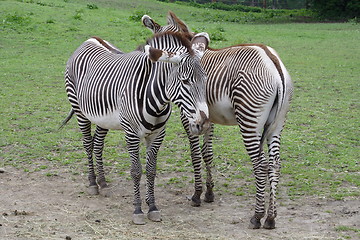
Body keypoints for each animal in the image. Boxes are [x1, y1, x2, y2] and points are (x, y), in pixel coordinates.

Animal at [60, 31, 210, 225]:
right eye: (185, 81)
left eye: (205, 80)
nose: (203, 124)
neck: (157, 100)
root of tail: (90, 39)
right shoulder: (131, 134)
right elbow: (136, 171)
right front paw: (138, 210)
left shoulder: (157, 135)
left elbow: (151, 171)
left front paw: (152, 207)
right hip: (79, 110)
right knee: (87, 143)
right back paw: (93, 183)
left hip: (103, 119)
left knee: (98, 145)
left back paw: (103, 184)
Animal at [142, 12, 294, 229]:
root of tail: (272, 61)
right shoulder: (208, 118)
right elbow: (208, 153)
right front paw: (209, 193)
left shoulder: (189, 116)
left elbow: (195, 154)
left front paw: (197, 195)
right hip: (277, 125)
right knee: (275, 164)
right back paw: (271, 218)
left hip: (250, 120)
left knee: (260, 164)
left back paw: (257, 216)